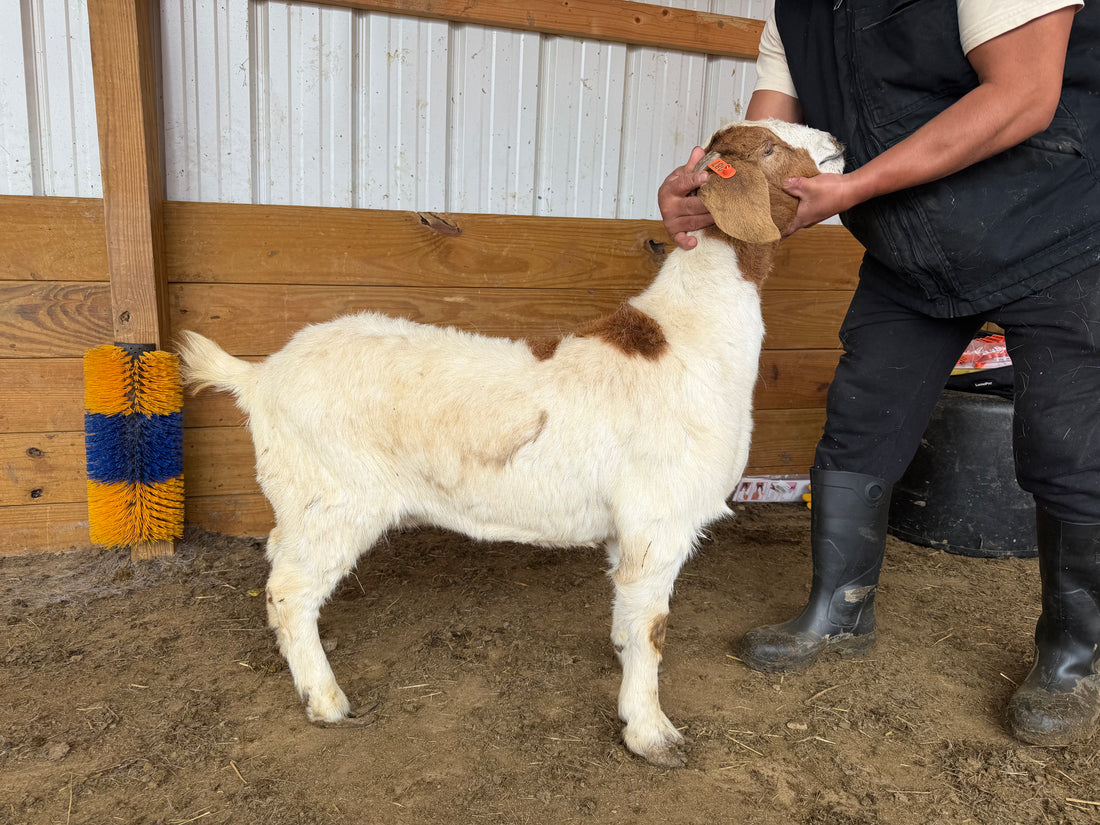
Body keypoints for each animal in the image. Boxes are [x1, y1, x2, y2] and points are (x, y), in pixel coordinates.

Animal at [178, 119, 845, 768]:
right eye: (770, 147)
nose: (837, 145)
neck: (688, 339)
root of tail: (260, 378)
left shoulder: (628, 528)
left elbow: (628, 618)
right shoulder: (659, 519)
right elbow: (652, 627)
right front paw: (652, 735)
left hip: (299, 495)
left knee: (279, 567)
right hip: (336, 496)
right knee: (290, 590)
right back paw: (326, 700)